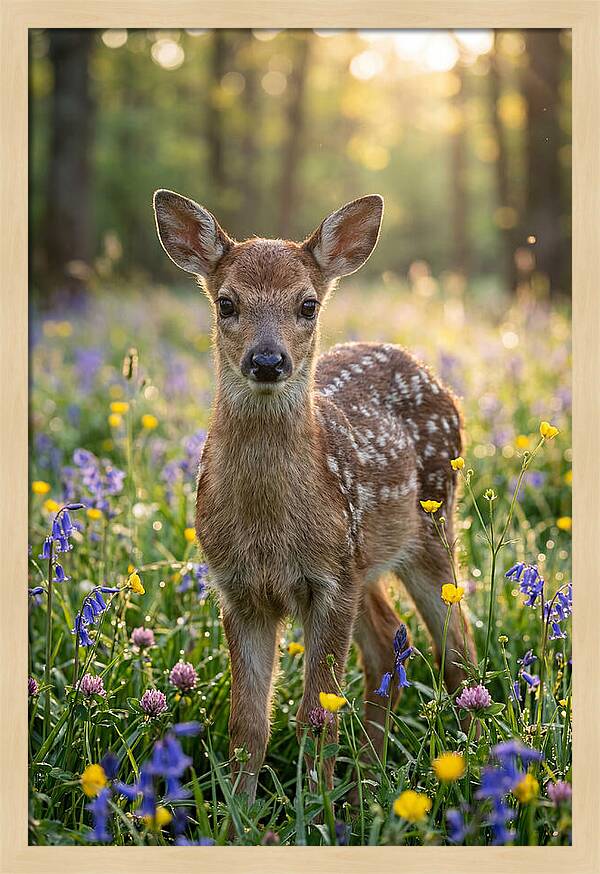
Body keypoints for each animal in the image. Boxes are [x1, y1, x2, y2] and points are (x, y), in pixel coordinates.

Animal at [153, 189, 477, 804]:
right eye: (226, 303)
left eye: (307, 305)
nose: (267, 360)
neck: (268, 530)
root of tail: (428, 371)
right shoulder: (239, 589)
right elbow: (248, 723)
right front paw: (239, 813)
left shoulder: (328, 582)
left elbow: (315, 715)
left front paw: (315, 810)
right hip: (365, 559)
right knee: (388, 644)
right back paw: (368, 783)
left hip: (429, 526)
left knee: (458, 652)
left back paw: (470, 774)